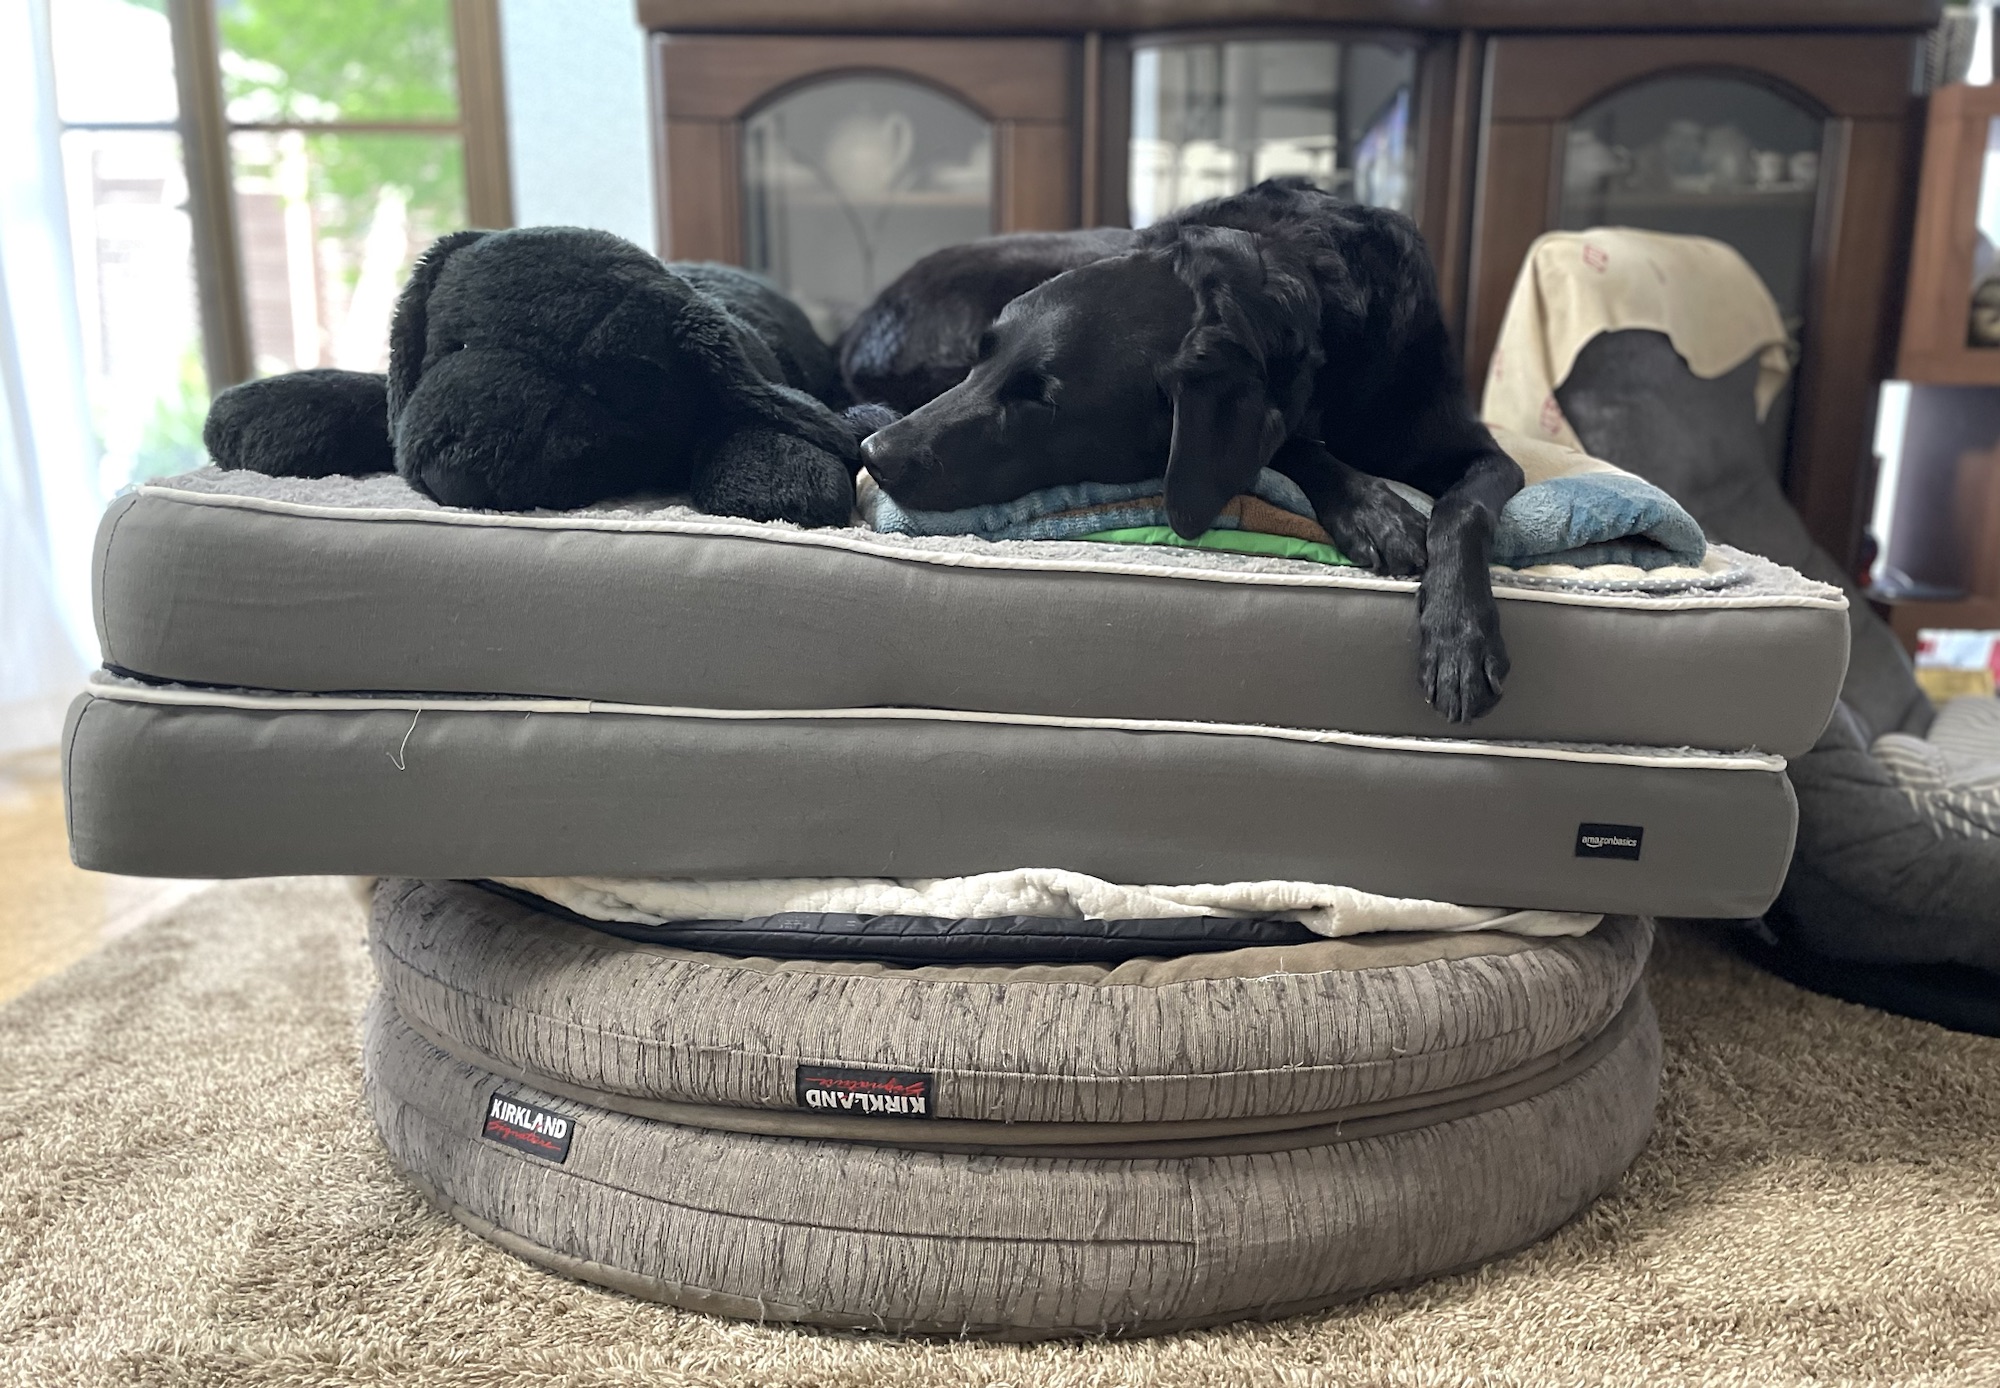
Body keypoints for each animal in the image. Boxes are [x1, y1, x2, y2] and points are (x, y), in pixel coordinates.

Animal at [856, 181, 1524, 723]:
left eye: (1041, 402)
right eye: (981, 356)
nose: (874, 454)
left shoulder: (1483, 451)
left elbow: (1464, 507)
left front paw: (1459, 635)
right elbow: (1293, 445)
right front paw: (1373, 511)